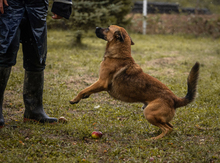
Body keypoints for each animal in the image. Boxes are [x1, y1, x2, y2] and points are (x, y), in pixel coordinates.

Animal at [69, 24, 200, 139]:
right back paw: (155, 134)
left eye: (107, 28)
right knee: (170, 127)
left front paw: (75, 99)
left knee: (167, 129)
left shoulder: (102, 82)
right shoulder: (99, 83)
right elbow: (88, 90)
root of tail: (175, 99)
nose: (96, 27)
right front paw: (84, 96)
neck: (119, 55)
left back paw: (154, 139)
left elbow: (83, 89)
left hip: (149, 113)